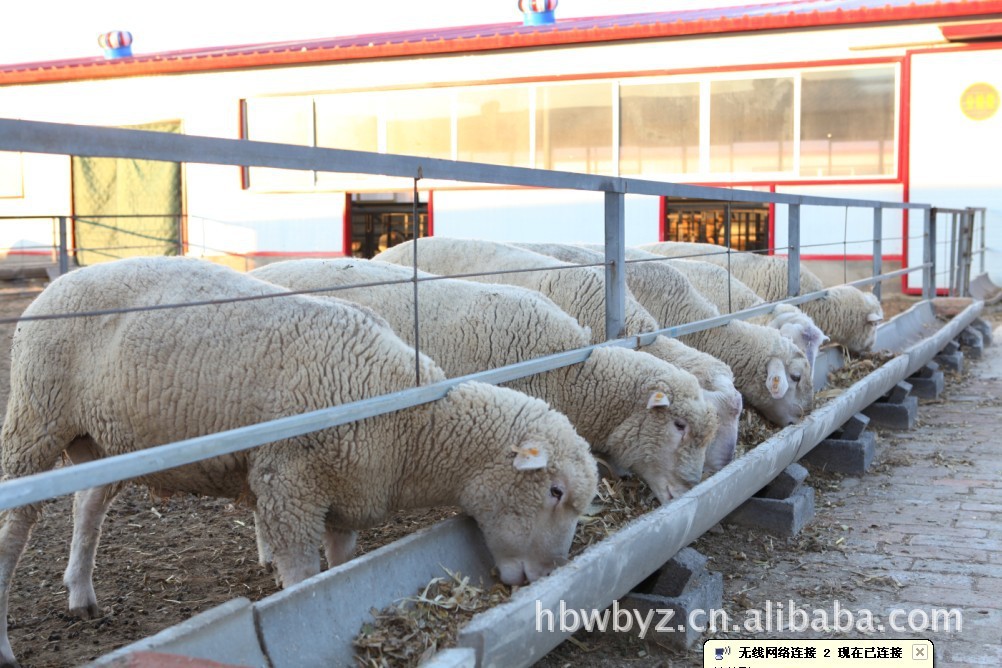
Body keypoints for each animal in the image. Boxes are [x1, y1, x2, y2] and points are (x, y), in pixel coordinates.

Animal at [0, 256, 593, 668]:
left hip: (103, 442)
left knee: (88, 505)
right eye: (554, 491)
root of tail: (61, 280)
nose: (547, 575)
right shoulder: (289, 487)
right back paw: (8, 640)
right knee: (15, 530)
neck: (408, 424)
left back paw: (81, 594)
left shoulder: (344, 496)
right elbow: (304, 578)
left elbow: (341, 566)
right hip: (34, 419)